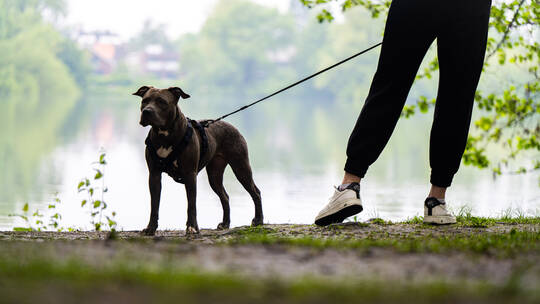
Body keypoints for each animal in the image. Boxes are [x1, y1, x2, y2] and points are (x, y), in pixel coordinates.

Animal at [133, 85, 264, 235]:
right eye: (144, 101)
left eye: (162, 102)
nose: (147, 111)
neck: (164, 135)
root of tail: (231, 125)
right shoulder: (154, 175)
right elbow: (154, 205)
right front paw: (150, 228)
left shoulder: (190, 175)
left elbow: (191, 204)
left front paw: (192, 227)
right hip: (214, 175)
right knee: (225, 196)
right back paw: (225, 223)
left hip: (241, 167)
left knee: (255, 192)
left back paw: (258, 220)